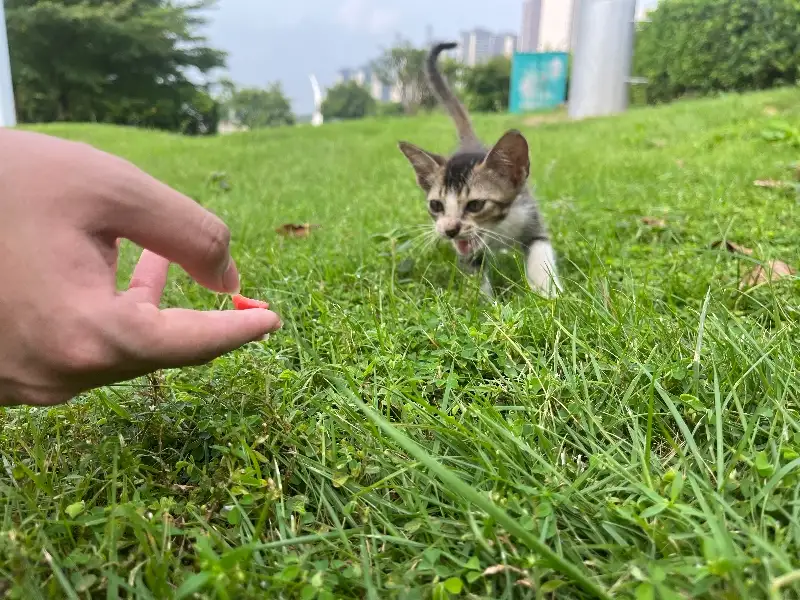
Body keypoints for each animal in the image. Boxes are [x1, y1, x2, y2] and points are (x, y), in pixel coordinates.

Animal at [398, 41, 564, 298]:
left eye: (475, 205)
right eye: (436, 205)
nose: (449, 230)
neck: (498, 228)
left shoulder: (529, 214)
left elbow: (540, 252)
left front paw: (547, 294)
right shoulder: (467, 250)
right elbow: (473, 270)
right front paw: (483, 302)